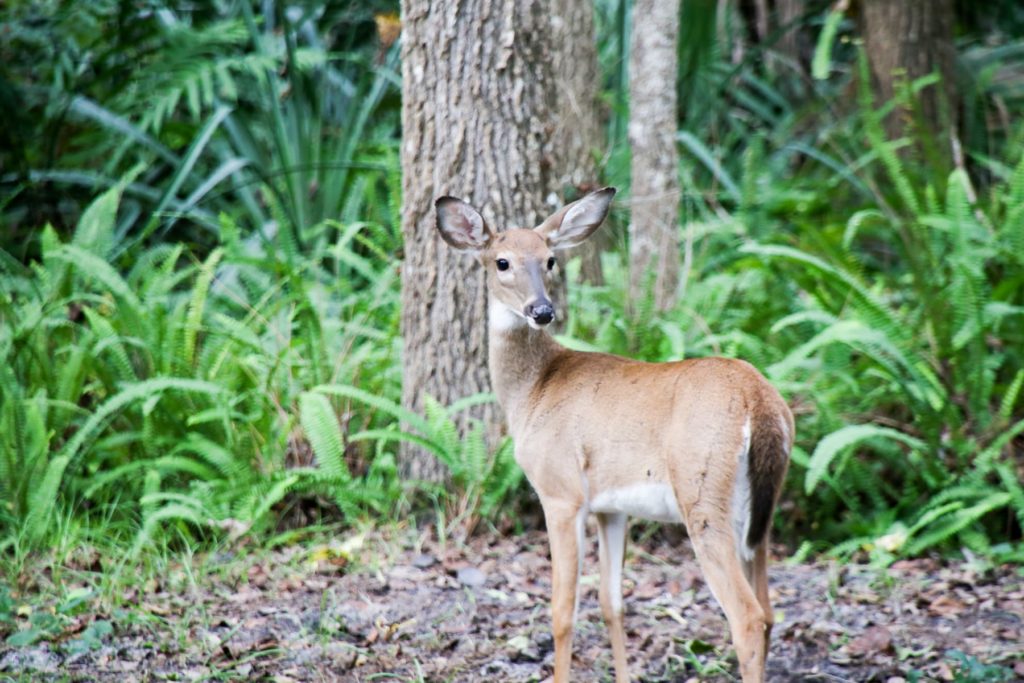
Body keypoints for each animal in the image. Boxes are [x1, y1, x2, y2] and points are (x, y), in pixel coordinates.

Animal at [432, 187, 790, 683]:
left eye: (550, 260)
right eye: (502, 262)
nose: (542, 311)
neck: (533, 389)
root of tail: (759, 400)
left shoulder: (561, 492)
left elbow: (562, 611)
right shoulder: (611, 507)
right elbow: (611, 603)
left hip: (704, 495)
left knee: (749, 617)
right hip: (760, 512)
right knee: (770, 611)